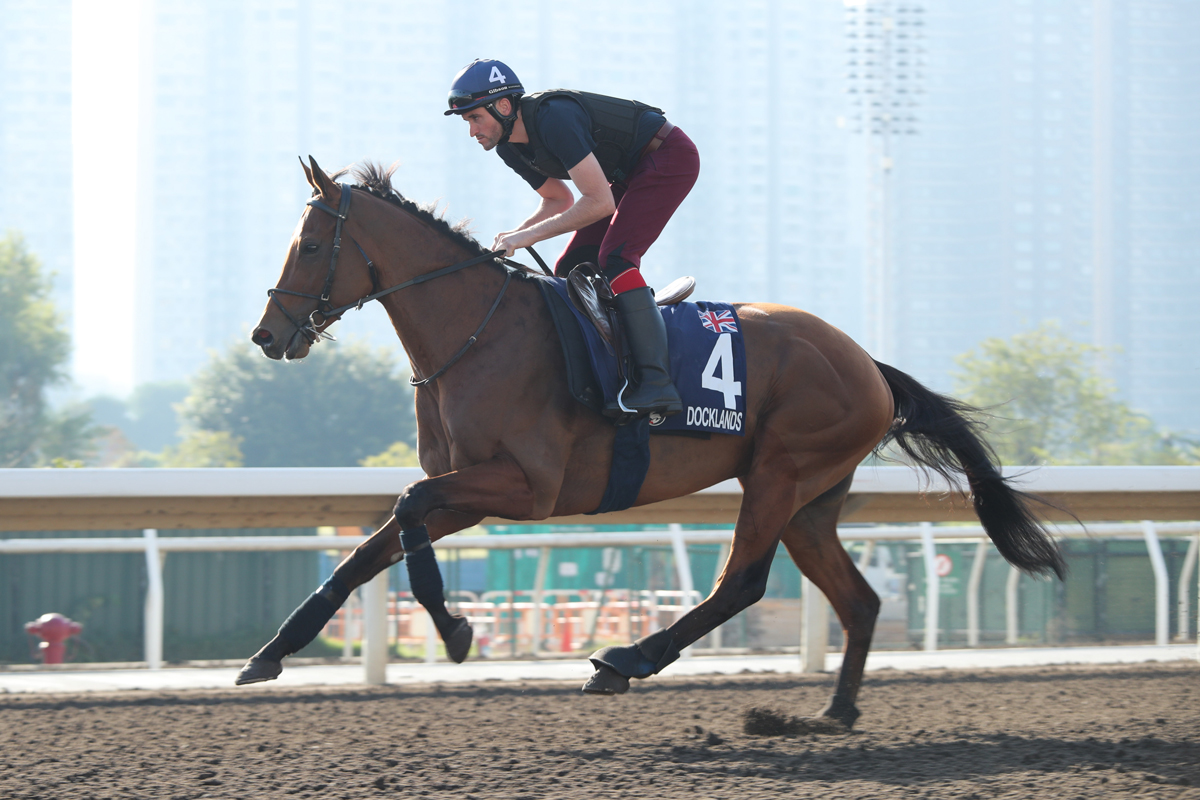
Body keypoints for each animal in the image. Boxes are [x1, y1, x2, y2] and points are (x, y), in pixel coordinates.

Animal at [234, 158, 1060, 734]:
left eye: (311, 244)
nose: (268, 336)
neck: (479, 334)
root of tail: (868, 363)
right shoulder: (467, 489)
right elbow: (367, 550)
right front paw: (270, 653)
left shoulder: (524, 485)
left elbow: (406, 511)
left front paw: (457, 628)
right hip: (813, 499)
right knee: (857, 601)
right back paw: (834, 712)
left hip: (780, 471)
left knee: (742, 583)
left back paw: (625, 659)